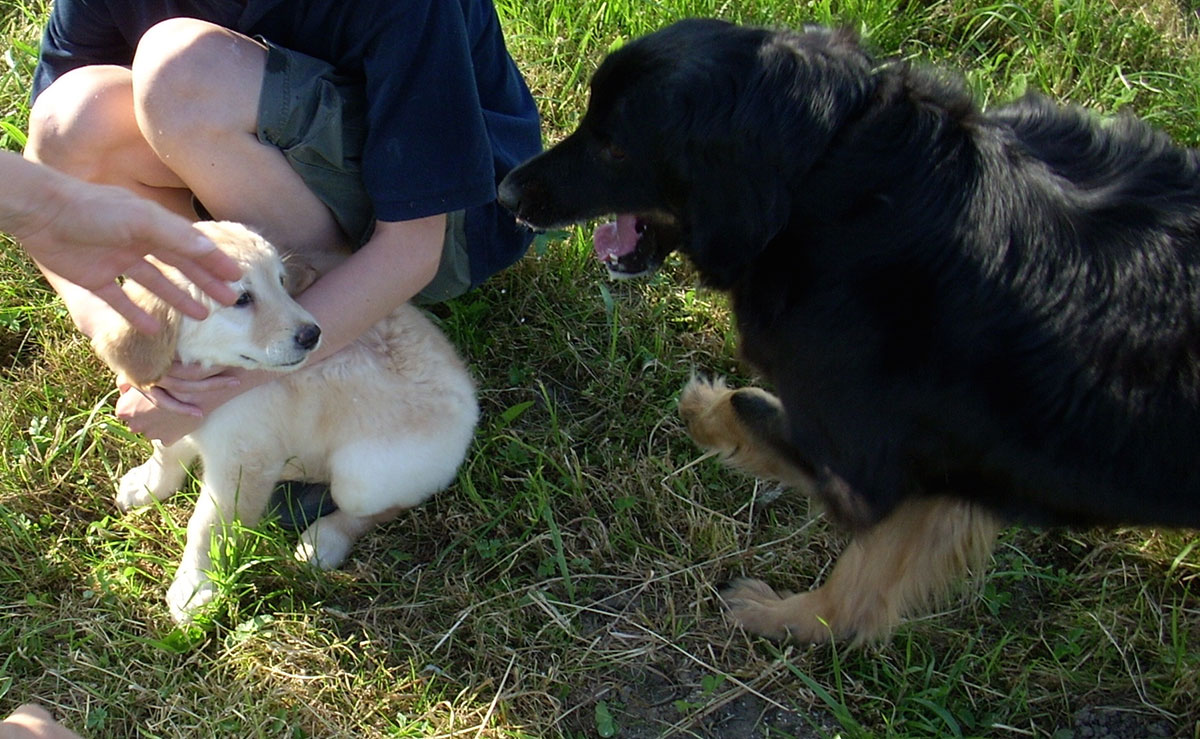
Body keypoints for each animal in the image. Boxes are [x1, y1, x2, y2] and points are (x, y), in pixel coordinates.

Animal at [496, 17, 1200, 643]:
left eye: (614, 144)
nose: (504, 194)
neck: (826, 176)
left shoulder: (871, 463)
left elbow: (754, 411)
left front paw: (789, 618)